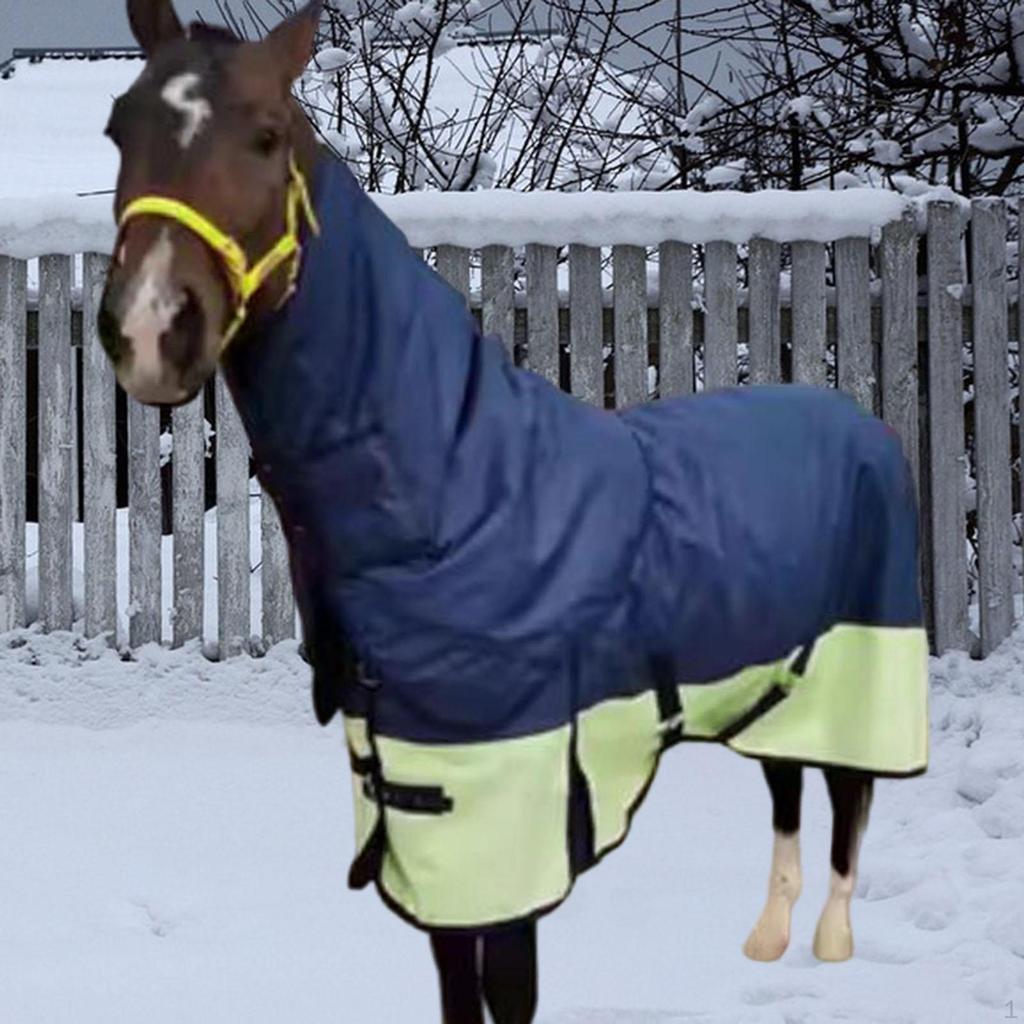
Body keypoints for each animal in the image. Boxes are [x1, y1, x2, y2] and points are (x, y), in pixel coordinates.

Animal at [97, 2, 929, 1020]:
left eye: (263, 135)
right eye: (119, 128)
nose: (148, 329)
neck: (458, 492)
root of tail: (860, 422)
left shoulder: (510, 812)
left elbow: (509, 991)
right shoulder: (420, 805)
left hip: (859, 670)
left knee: (848, 798)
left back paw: (834, 943)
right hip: (778, 683)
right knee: (786, 788)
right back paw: (769, 941)